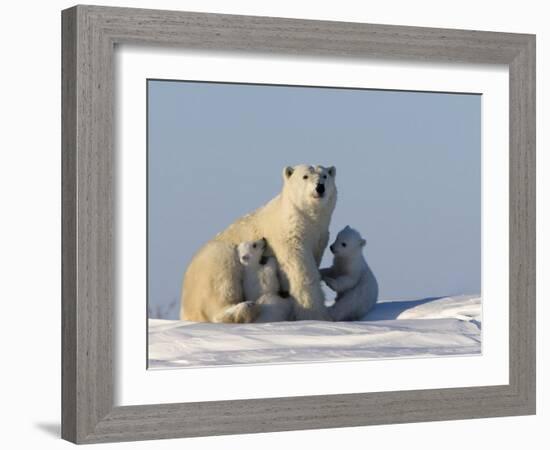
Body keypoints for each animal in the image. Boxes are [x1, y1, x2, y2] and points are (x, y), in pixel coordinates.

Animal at [182, 165, 336, 324]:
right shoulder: (289, 237)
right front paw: (317, 315)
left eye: (325, 175)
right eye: (305, 176)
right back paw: (245, 308)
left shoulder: (319, 237)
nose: (320, 187)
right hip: (213, 264)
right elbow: (300, 271)